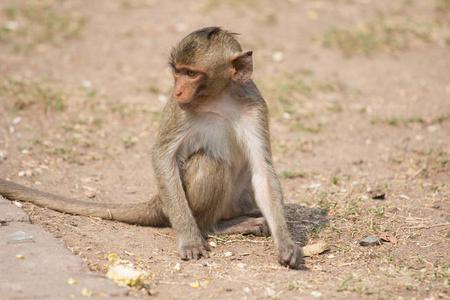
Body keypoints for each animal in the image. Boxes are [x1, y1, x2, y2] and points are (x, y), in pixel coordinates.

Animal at [0, 27, 306, 268]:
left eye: (192, 74)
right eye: (178, 71)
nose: (178, 90)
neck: (218, 98)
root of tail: (157, 200)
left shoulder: (254, 105)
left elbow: (262, 169)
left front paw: (285, 243)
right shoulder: (178, 109)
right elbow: (162, 156)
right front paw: (189, 239)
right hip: (174, 201)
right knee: (208, 163)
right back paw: (215, 227)